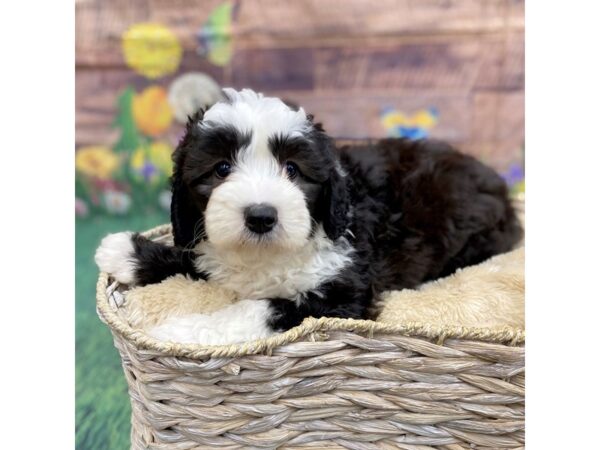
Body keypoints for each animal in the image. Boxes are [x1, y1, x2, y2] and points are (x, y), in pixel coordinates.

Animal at [96, 88, 524, 344]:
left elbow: (262, 307)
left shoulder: (344, 294)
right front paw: (128, 251)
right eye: (220, 169)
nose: (261, 216)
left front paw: (184, 330)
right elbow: (194, 255)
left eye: (293, 169)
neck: (265, 255)